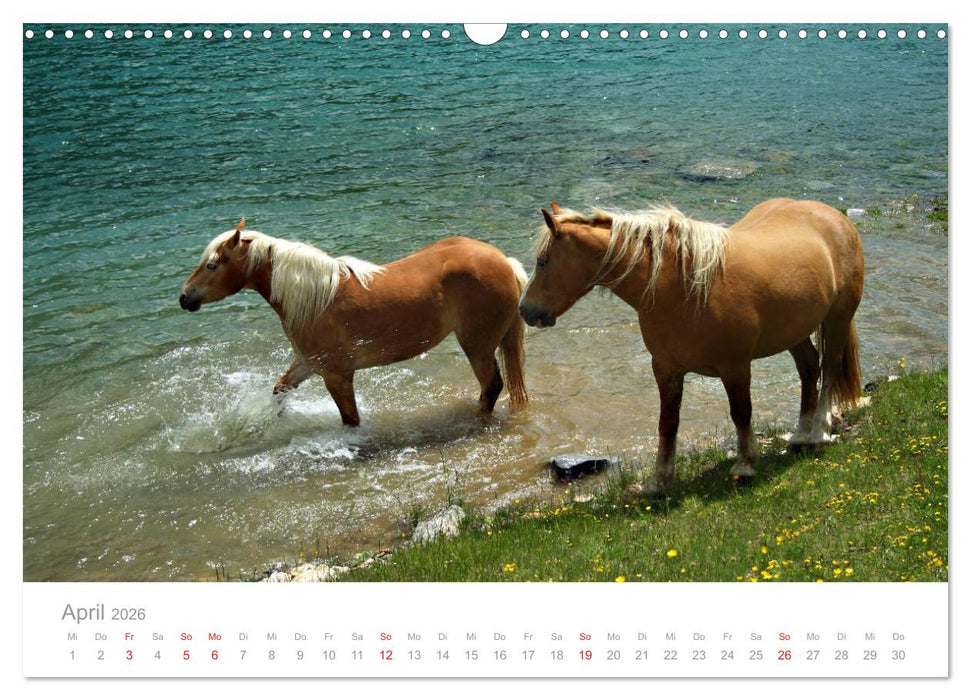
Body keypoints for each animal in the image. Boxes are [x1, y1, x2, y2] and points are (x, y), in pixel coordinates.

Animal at [180, 219, 528, 426]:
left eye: (212, 265)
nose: (184, 298)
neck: (318, 298)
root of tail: (504, 262)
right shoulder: (308, 363)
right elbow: (280, 389)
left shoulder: (336, 376)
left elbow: (350, 420)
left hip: (477, 345)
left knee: (491, 386)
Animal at [519, 199, 864, 492]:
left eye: (543, 261)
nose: (525, 310)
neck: (684, 286)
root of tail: (833, 216)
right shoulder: (666, 369)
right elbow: (668, 423)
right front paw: (660, 480)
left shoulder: (735, 366)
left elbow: (741, 413)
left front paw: (745, 464)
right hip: (795, 331)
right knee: (809, 368)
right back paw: (800, 434)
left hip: (837, 318)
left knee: (828, 370)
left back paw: (819, 433)